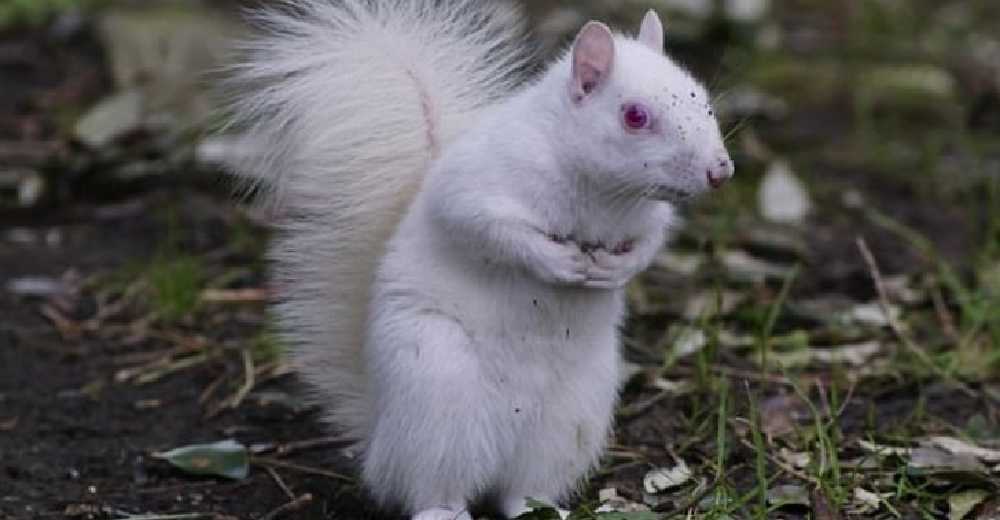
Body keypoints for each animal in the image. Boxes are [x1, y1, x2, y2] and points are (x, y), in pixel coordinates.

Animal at [223, 1, 732, 520]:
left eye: (705, 100)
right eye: (634, 116)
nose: (720, 171)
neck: (602, 194)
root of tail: (379, 440)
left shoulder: (648, 219)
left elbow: (648, 244)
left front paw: (615, 270)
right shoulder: (475, 186)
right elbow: (487, 229)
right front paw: (558, 263)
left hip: (571, 418)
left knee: (524, 489)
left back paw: (541, 508)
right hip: (439, 391)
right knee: (432, 486)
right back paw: (443, 509)